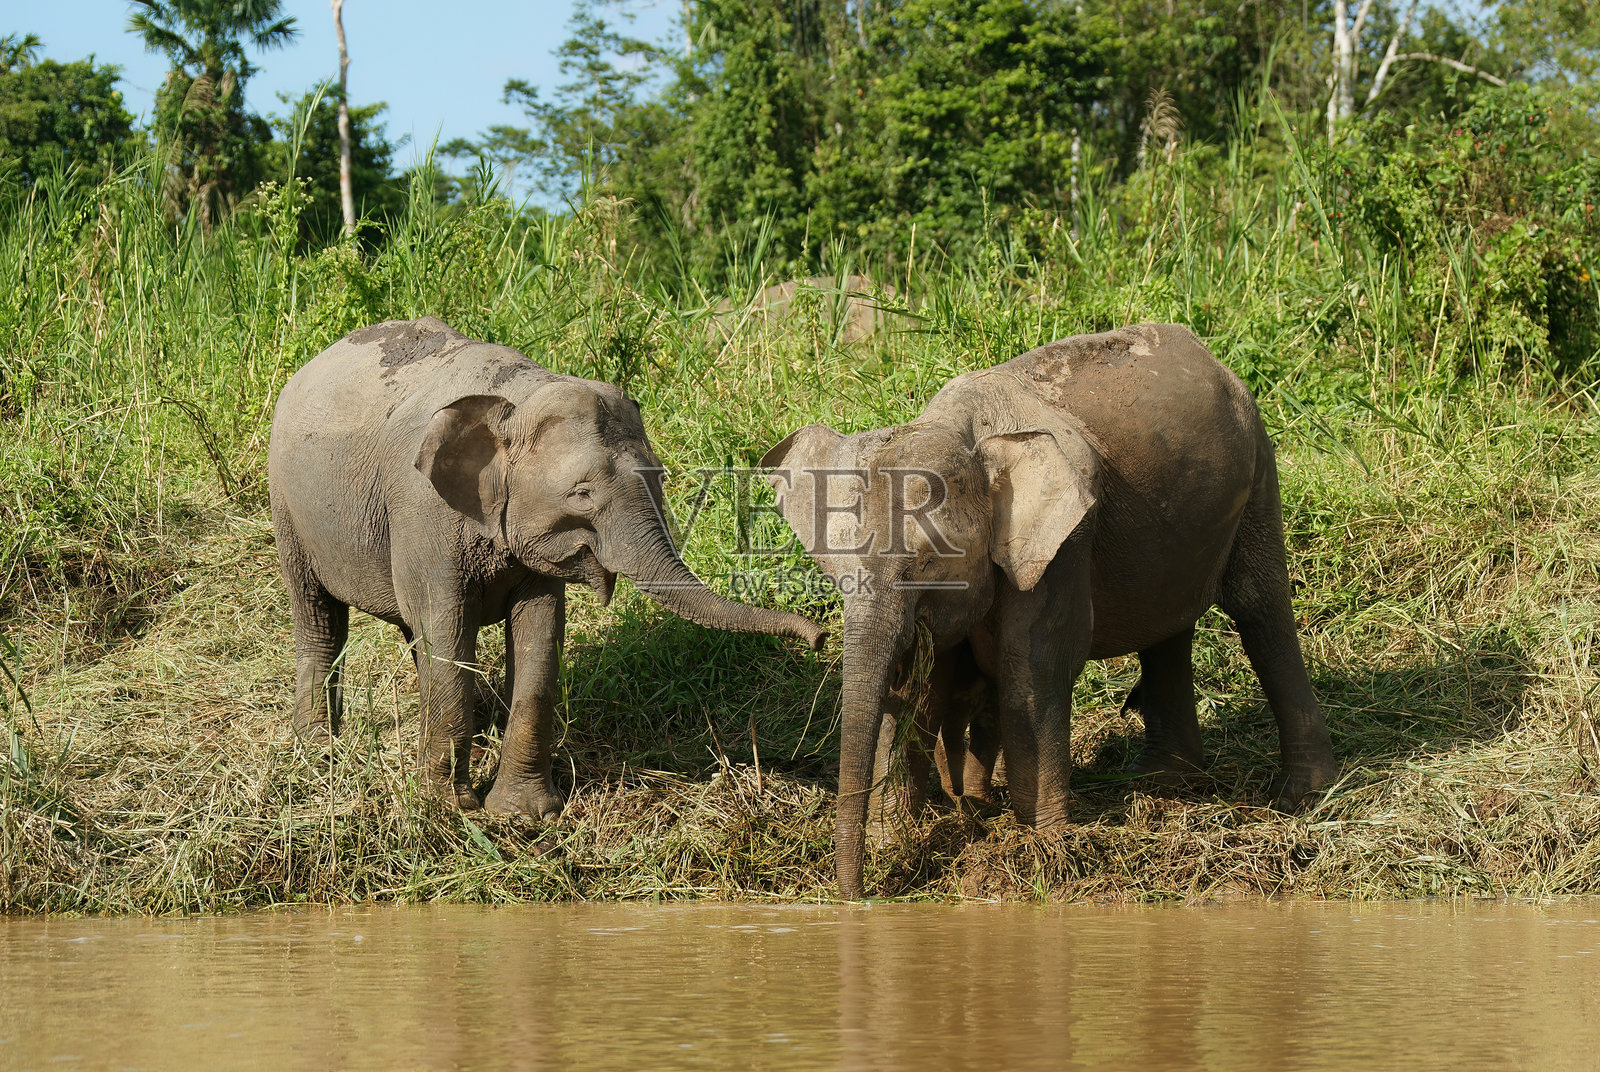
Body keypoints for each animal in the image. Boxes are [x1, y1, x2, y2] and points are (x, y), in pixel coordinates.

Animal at [268, 316, 826, 815]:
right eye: (581, 493)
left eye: (659, 476)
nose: (819, 637)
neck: (518, 397)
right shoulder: (423, 512)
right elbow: (448, 628)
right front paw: (450, 811)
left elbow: (538, 633)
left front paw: (523, 815)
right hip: (288, 508)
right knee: (321, 616)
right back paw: (318, 748)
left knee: (411, 629)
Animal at [761, 323, 1337, 898]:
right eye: (833, 569)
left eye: (926, 561)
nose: (856, 896)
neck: (964, 432)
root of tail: (1203, 349)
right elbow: (917, 688)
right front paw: (895, 838)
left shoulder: (1064, 543)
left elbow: (1032, 670)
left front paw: (1044, 849)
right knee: (1168, 632)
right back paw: (1162, 782)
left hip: (1259, 467)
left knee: (1261, 612)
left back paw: (1301, 796)